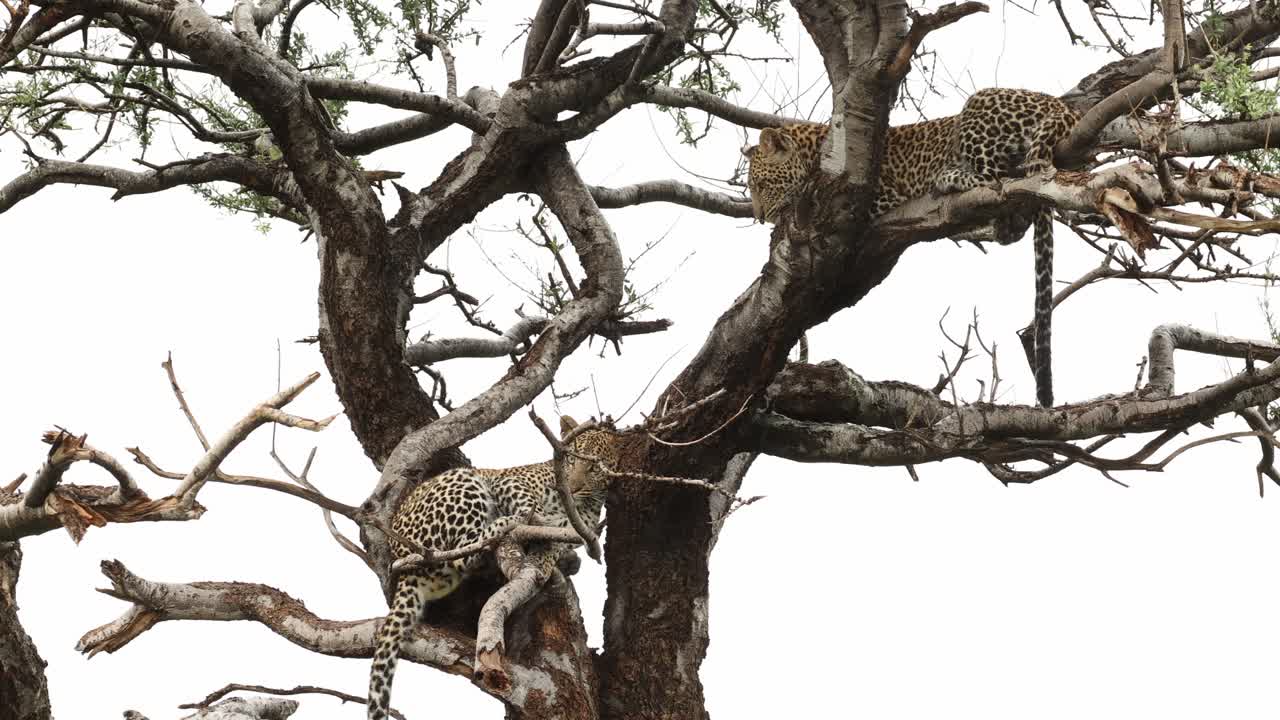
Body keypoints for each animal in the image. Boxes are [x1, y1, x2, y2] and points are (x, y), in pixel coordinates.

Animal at [367, 416, 621, 720]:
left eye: (594, 467)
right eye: (570, 458)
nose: (571, 488)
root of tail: (401, 559)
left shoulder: (580, 528)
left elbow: (561, 541)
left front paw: (560, 557)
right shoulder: (509, 480)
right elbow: (530, 504)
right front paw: (539, 523)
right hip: (463, 482)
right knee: (465, 549)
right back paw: (508, 522)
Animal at [742, 88, 1078, 408]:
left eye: (761, 185)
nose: (760, 216)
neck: (815, 153)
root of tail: (1061, 106)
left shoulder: (876, 196)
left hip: (979, 109)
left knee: (997, 178)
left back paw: (949, 176)